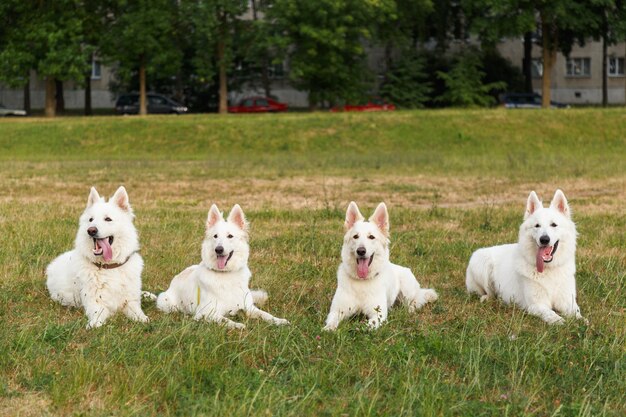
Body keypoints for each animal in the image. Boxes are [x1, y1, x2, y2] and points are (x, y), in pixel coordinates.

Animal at [45, 186, 149, 328]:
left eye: (108, 219)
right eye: (91, 220)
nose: (91, 230)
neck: (110, 267)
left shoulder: (130, 300)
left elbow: (136, 311)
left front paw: (143, 319)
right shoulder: (94, 302)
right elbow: (98, 314)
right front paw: (94, 324)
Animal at [156, 204, 288, 328]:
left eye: (230, 236)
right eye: (215, 236)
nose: (218, 249)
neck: (226, 274)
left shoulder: (250, 308)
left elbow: (265, 314)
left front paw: (279, 320)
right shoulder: (205, 313)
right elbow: (224, 320)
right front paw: (238, 325)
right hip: (166, 303)